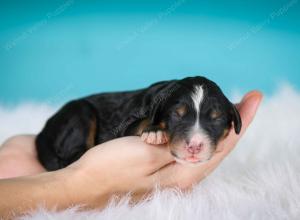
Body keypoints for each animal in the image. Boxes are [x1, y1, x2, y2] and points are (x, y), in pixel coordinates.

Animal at [35, 76, 241, 171]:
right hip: (80, 112)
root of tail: (42, 132)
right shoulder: (125, 126)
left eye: (217, 119)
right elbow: (141, 122)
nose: (195, 146)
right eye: (176, 115)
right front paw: (154, 131)